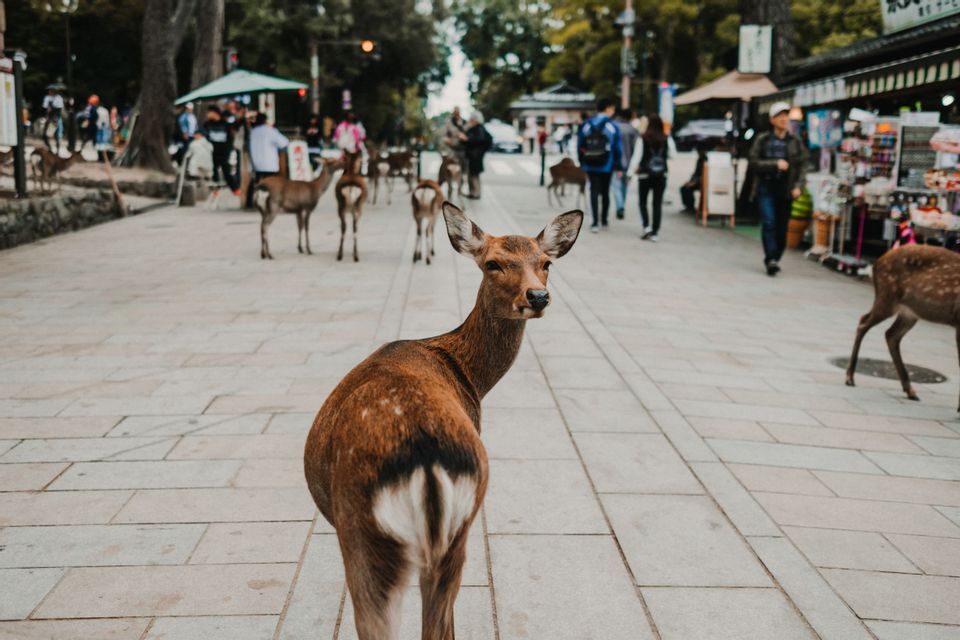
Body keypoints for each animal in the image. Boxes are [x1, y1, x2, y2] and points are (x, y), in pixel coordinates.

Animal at [304, 202, 583, 640]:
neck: (470, 376)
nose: (538, 295)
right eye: (493, 263)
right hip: (455, 535)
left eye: (546, 262)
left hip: (363, 537)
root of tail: (427, 465)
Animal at [846, 244, 960, 410]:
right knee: (864, 322)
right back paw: (850, 377)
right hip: (887, 297)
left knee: (891, 334)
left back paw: (910, 391)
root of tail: (877, 262)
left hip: (909, 312)